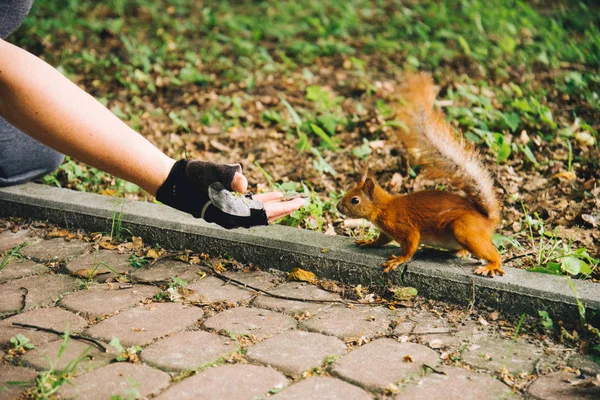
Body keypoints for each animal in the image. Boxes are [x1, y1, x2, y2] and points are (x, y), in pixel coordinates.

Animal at [336, 72, 504, 276]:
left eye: (355, 200)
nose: (338, 207)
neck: (384, 208)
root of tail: (486, 220)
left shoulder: (405, 228)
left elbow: (410, 246)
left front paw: (397, 260)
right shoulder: (385, 232)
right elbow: (380, 241)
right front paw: (368, 242)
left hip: (464, 229)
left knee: (491, 253)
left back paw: (491, 265)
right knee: (462, 251)